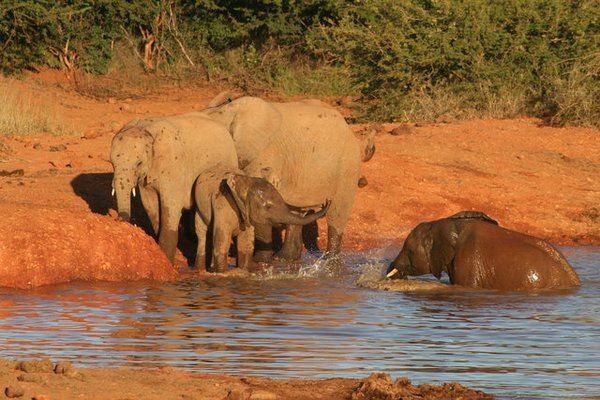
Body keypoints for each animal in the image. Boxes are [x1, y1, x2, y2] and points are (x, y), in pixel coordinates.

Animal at [110, 111, 237, 266]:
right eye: (112, 163)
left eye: (139, 163)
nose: (118, 219)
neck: (145, 129)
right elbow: (151, 206)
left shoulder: (174, 166)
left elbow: (171, 207)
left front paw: (166, 261)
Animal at [193, 164, 328, 274]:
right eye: (268, 207)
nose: (326, 202)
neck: (246, 182)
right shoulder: (224, 205)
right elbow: (222, 242)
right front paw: (222, 273)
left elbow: (246, 243)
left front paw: (243, 271)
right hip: (199, 210)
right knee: (202, 235)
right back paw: (200, 270)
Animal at [205, 94, 376, 262]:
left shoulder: (265, 155)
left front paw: (259, 262)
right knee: (298, 210)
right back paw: (285, 259)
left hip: (347, 165)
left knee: (338, 213)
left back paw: (329, 260)